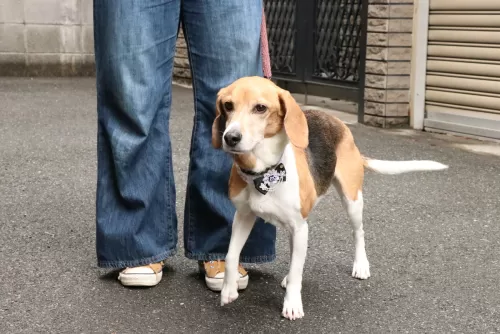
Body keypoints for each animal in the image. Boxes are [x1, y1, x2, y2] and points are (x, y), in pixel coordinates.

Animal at [212, 76, 450, 320]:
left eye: (260, 108)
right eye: (228, 105)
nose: (230, 137)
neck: (263, 173)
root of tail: (337, 121)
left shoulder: (299, 226)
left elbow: (296, 270)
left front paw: (292, 304)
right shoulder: (244, 216)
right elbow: (231, 255)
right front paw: (229, 289)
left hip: (351, 201)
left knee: (358, 233)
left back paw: (360, 265)